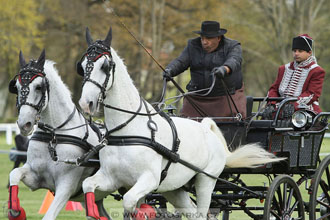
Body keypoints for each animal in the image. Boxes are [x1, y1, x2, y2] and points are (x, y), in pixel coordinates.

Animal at [7, 49, 109, 220]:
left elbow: (48, 216)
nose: (24, 124)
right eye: (17, 87)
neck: (54, 136)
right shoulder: (35, 177)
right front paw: (15, 210)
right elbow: (14, 173)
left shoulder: (66, 187)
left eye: (39, 87)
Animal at [78, 27, 284, 220]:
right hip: (174, 188)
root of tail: (207, 128)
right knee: (192, 212)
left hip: (205, 181)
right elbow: (88, 185)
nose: (86, 103)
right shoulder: (112, 178)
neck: (128, 131)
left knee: (202, 212)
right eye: (81, 66)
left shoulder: (149, 179)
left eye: (105, 66)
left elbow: (129, 202)